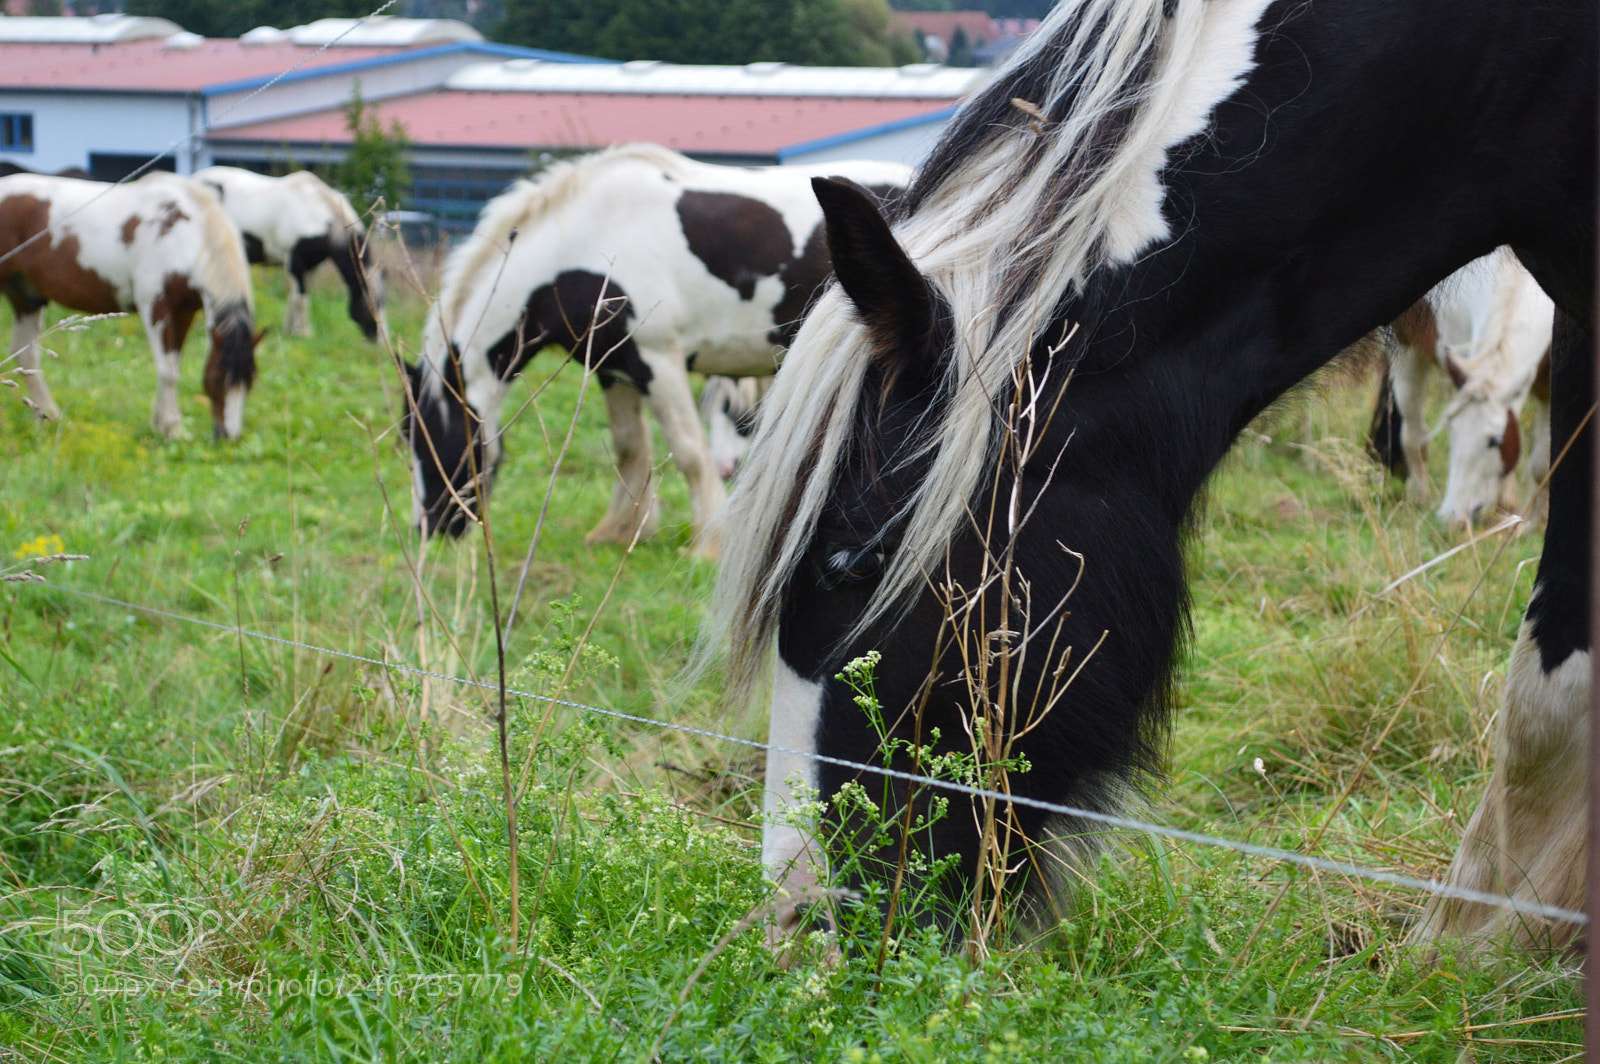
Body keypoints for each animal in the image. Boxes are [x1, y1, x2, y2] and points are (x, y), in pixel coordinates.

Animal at [0, 172, 262, 439]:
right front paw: (174, 429)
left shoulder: (184, 312)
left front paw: (162, 424)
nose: (229, 437)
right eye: (218, 378)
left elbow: (173, 365)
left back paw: (48, 416)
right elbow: (167, 371)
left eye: (250, 381)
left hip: (26, 298)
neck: (180, 236)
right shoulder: (155, 307)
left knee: (26, 354)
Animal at [192, 166, 387, 343]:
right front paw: (304, 334)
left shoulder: (311, 266)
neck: (317, 212)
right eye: (371, 305)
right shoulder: (295, 261)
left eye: (383, 303)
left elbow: (295, 297)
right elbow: (300, 299)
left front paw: (290, 331)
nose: (381, 342)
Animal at [403, 144, 909, 552]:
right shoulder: (613, 365)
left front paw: (708, 544)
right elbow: (630, 447)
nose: (431, 529)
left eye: (427, 440)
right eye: (406, 438)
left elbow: (689, 451)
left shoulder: (657, 359)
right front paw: (619, 532)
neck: (588, 240)